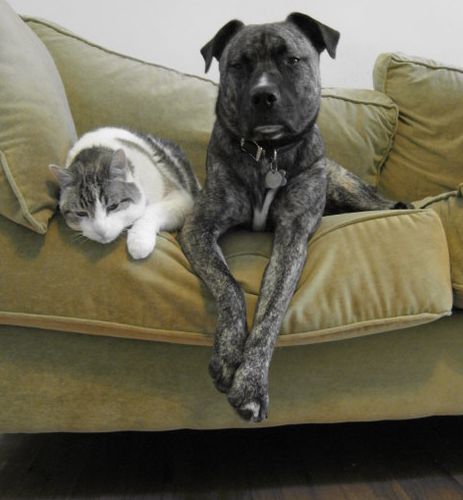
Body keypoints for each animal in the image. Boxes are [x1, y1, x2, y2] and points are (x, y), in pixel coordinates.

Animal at [49, 127, 200, 260]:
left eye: (113, 206)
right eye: (81, 213)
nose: (101, 231)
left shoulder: (181, 199)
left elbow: (151, 211)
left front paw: (139, 241)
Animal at [179, 12, 408, 422]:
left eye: (292, 59)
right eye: (239, 64)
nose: (263, 96)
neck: (267, 153)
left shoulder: (292, 237)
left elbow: (271, 310)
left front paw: (251, 384)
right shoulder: (199, 226)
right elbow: (229, 286)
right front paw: (229, 355)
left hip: (347, 189)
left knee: (382, 203)